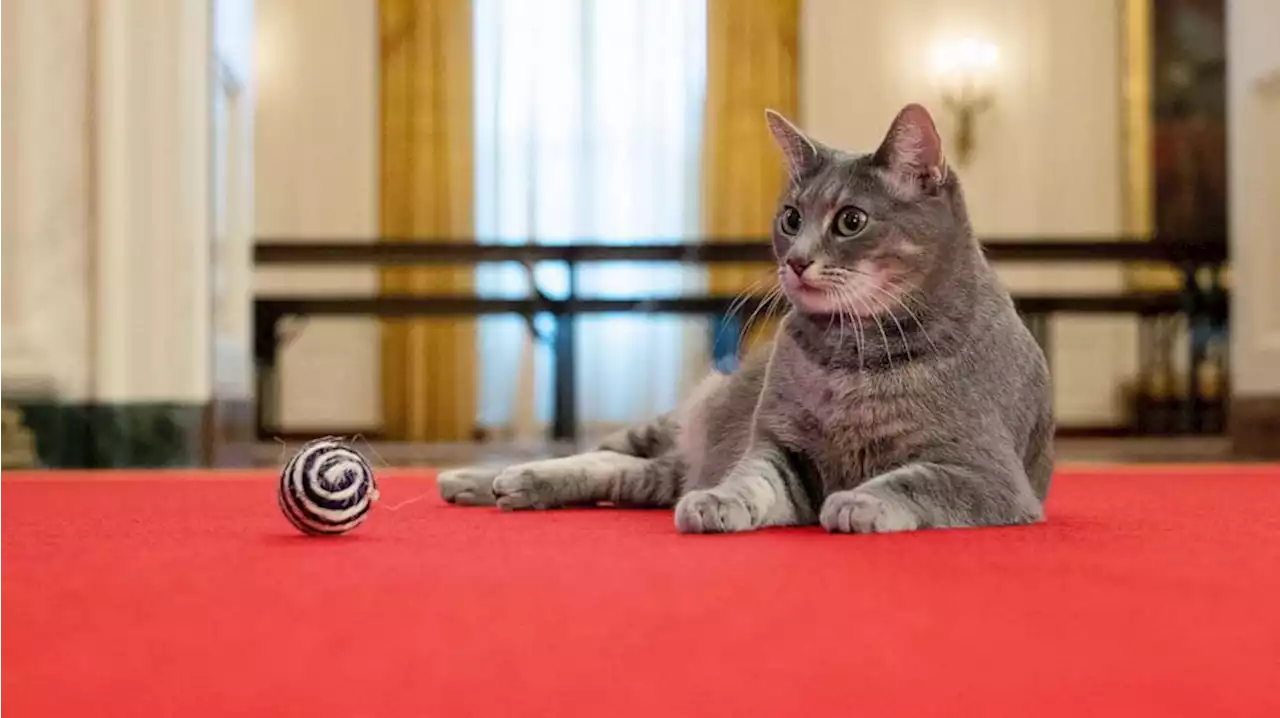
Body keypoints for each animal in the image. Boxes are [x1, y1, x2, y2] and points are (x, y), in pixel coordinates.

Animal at [435, 104, 1054, 532]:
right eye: (791, 217)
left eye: (851, 221)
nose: (797, 260)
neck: (852, 355)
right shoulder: (781, 447)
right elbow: (753, 479)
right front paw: (720, 501)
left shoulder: (984, 471)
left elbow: (914, 482)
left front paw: (862, 500)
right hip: (672, 420)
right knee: (598, 451)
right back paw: (479, 478)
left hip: (663, 466)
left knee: (625, 471)